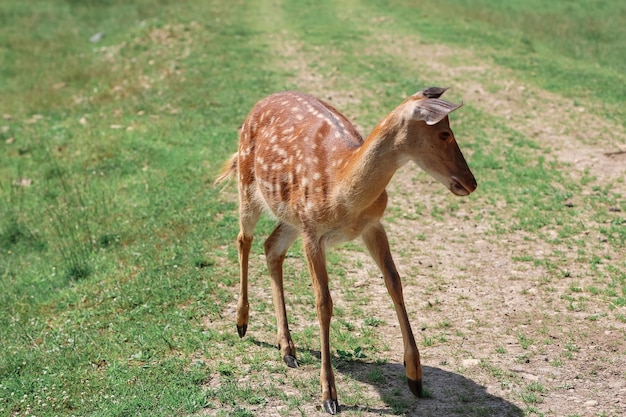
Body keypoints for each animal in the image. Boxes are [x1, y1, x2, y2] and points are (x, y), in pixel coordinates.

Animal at [214, 86, 472, 412]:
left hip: (291, 217)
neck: (341, 188)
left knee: (271, 246)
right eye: (444, 133)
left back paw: (288, 349)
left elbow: (395, 283)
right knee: (243, 239)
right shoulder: (313, 234)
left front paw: (415, 377)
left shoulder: (372, 225)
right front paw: (329, 396)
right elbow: (324, 302)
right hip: (249, 185)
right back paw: (241, 323)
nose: (471, 182)